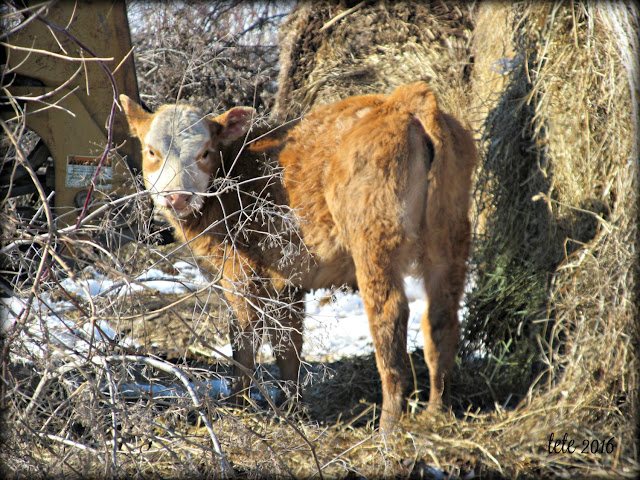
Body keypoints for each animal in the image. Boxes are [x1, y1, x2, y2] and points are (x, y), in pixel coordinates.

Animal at [120, 81, 477, 431]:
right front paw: (292, 406)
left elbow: (244, 338)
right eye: (152, 152)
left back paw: (389, 423)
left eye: (205, 152)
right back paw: (437, 410)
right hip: (451, 231)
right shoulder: (286, 277)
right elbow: (287, 342)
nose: (177, 197)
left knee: (390, 315)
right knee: (441, 315)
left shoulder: (241, 271)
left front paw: (237, 404)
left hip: (374, 238)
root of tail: (404, 101)